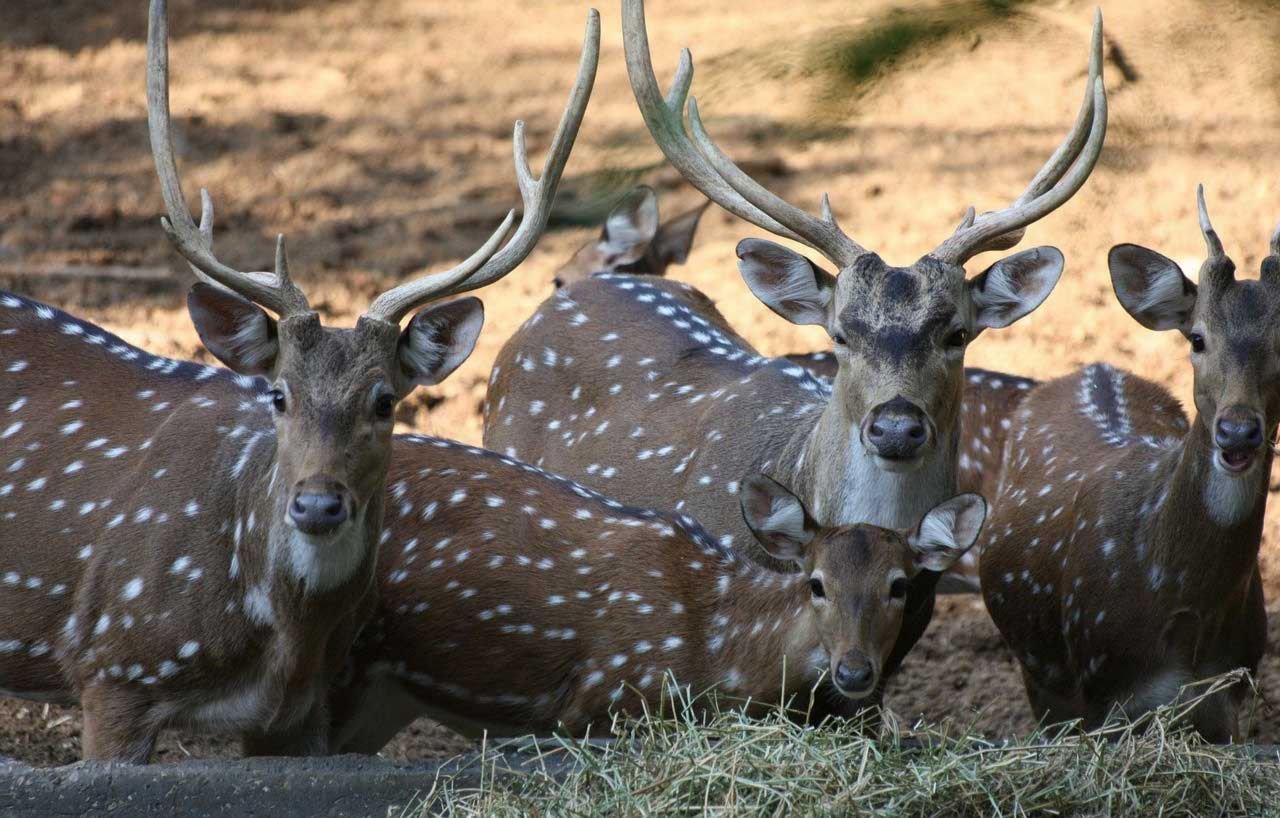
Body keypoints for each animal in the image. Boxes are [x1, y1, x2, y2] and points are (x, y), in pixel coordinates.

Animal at [0, 0, 596, 762]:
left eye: (385, 401)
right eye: (278, 395)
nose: (317, 504)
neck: (278, 638)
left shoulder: (298, 711)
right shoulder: (113, 666)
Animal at [977, 190, 1269, 742]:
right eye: (1197, 338)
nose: (1238, 431)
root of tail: (1095, 365)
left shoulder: (1230, 689)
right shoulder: (1106, 690)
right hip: (1041, 676)